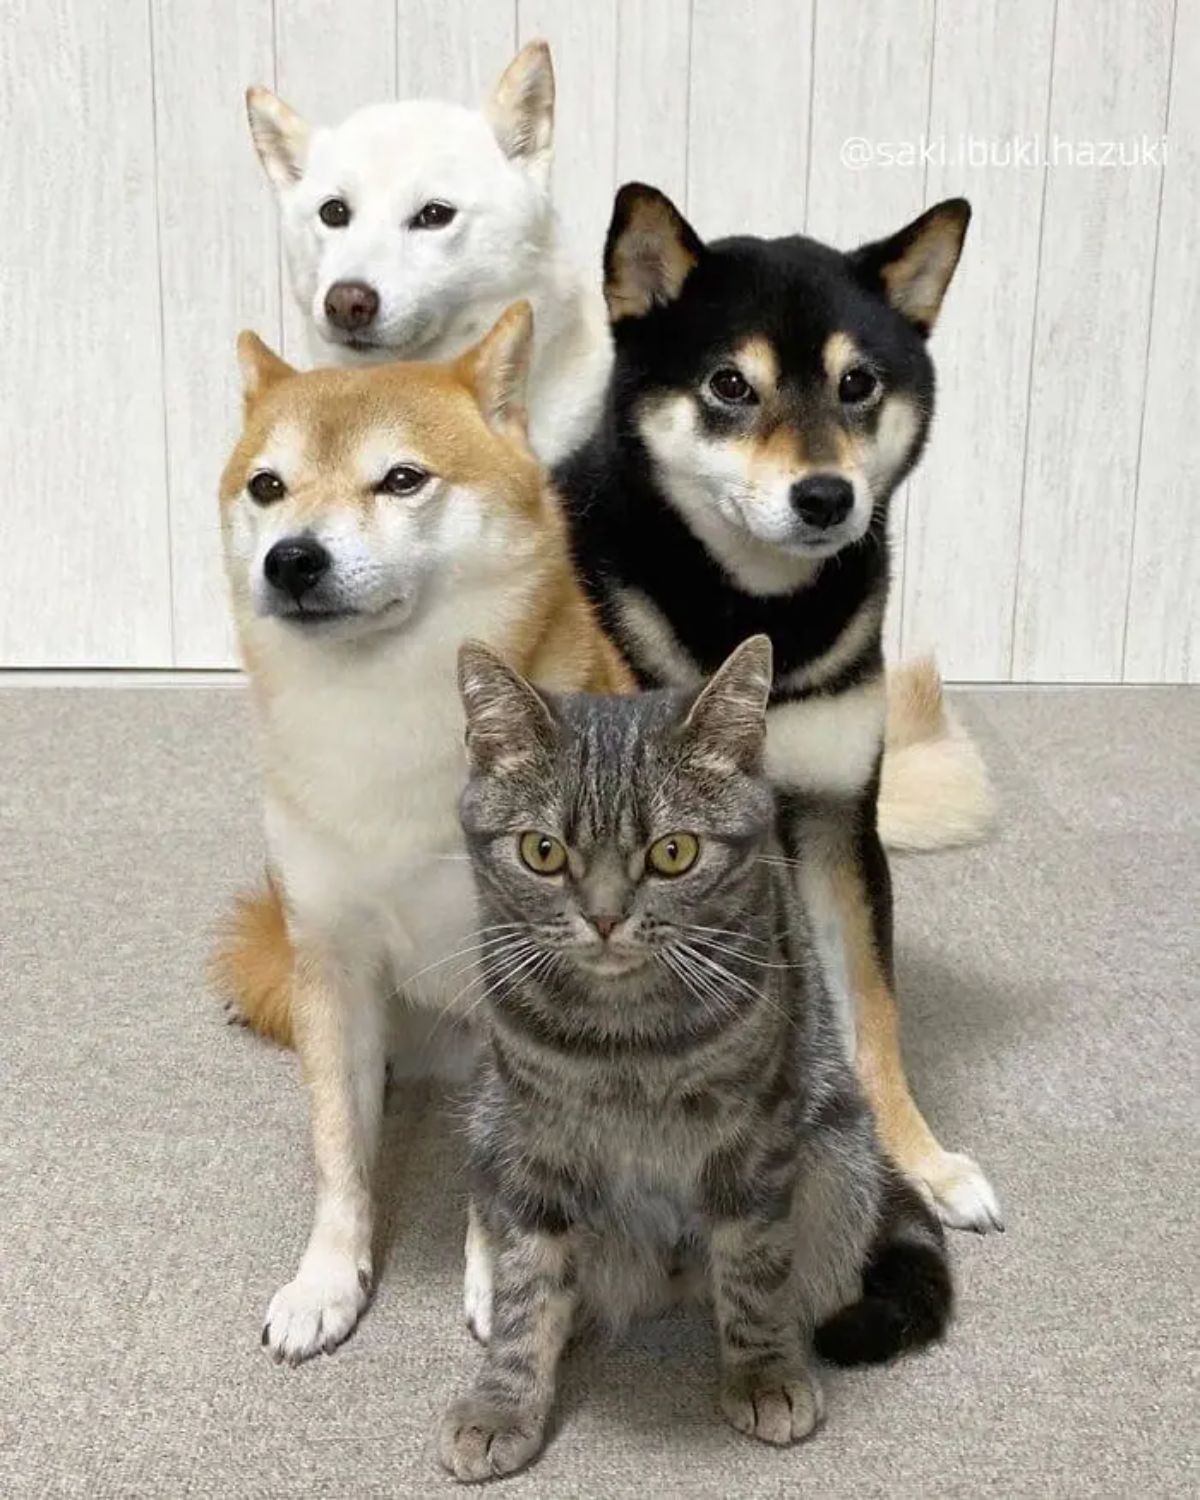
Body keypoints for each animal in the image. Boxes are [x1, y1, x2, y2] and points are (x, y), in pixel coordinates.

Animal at [438, 639, 948, 1482]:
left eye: (672, 853)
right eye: (543, 852)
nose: (605, 917)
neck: (625, 1042)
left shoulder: (755, 1139)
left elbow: (752, 1269)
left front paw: (763, 1373)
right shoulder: (536, 1142)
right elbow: (527, 1283)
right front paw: (503, 1401)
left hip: (838, 1152)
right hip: (487, 1120)